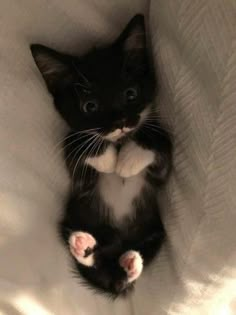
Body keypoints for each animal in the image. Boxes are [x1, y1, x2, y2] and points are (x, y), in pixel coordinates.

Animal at [30, 13, 171, 298]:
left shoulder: (160, 175)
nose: (120, 123)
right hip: (75, 218)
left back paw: (130, 263)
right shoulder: (81, 181)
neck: (118, 140)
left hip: (155, 232)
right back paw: (84, 246)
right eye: (90, 106)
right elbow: (72, 142)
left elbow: (162, 140)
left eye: (131, 94)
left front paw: (128, 159)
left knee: (130, 268)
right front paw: (107, 158)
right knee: (94, 262)